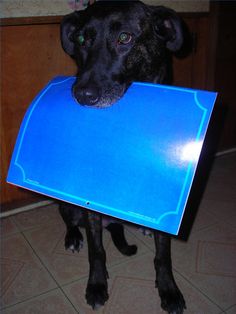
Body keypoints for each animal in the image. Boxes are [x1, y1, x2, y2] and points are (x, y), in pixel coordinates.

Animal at [60, 1, 186, 312]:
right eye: (81, 38)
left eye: (125, 38)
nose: (82, 94)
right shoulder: (88, 202)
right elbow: (96, 250)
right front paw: (96, 284)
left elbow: (163, 254)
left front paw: (168, 289)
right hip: (67, 205)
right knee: (69, 219)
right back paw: (73, 237)